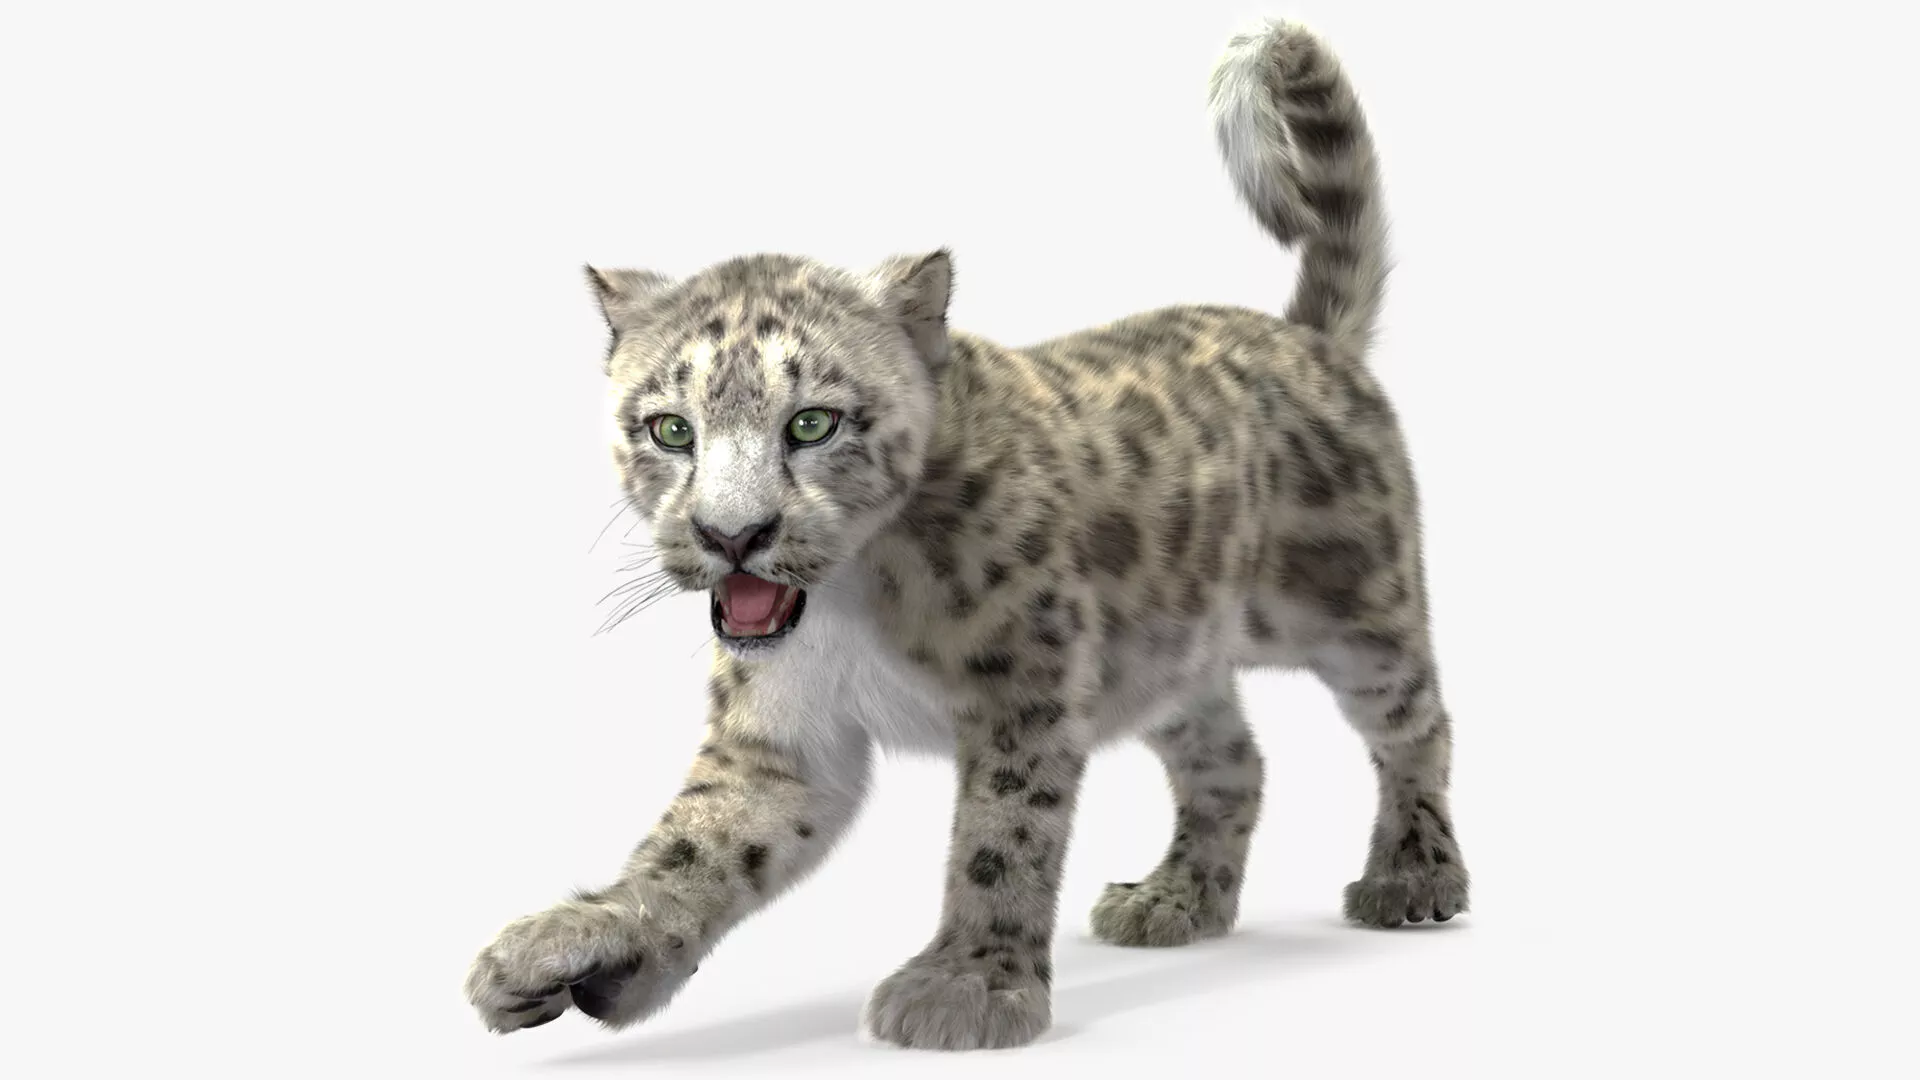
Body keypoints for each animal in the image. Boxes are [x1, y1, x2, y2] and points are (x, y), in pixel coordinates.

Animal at [464, 18, 1468, 1052]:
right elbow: (699, 840)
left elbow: (1001, 837)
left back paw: (1411, 877)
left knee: (1416, 723)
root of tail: (1309, 338)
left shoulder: (1026, 690)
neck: (851, 603)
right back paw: (1174, 899)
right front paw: (580, 946)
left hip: (1360, 607)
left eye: (812, 423)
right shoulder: (781, 732)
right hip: (1166, 656)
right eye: (671, 429)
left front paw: (969, 987)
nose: (731, 534)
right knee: (1232, 761)